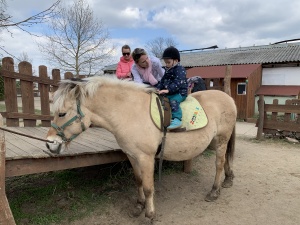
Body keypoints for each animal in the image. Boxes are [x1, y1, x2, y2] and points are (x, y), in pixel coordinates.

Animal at [45, 76, 237, 221]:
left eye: (62, 113)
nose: (49, 143)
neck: (130, 112)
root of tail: (227, 98)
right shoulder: (132, 156)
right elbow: (138, 181)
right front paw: (139, 206)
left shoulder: (146, 158)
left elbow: (148, 187)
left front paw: (150, 214)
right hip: (216, 141)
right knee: (226, 160)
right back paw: (228, 179)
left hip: (221, 140)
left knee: (219, 164)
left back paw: (214, 191)